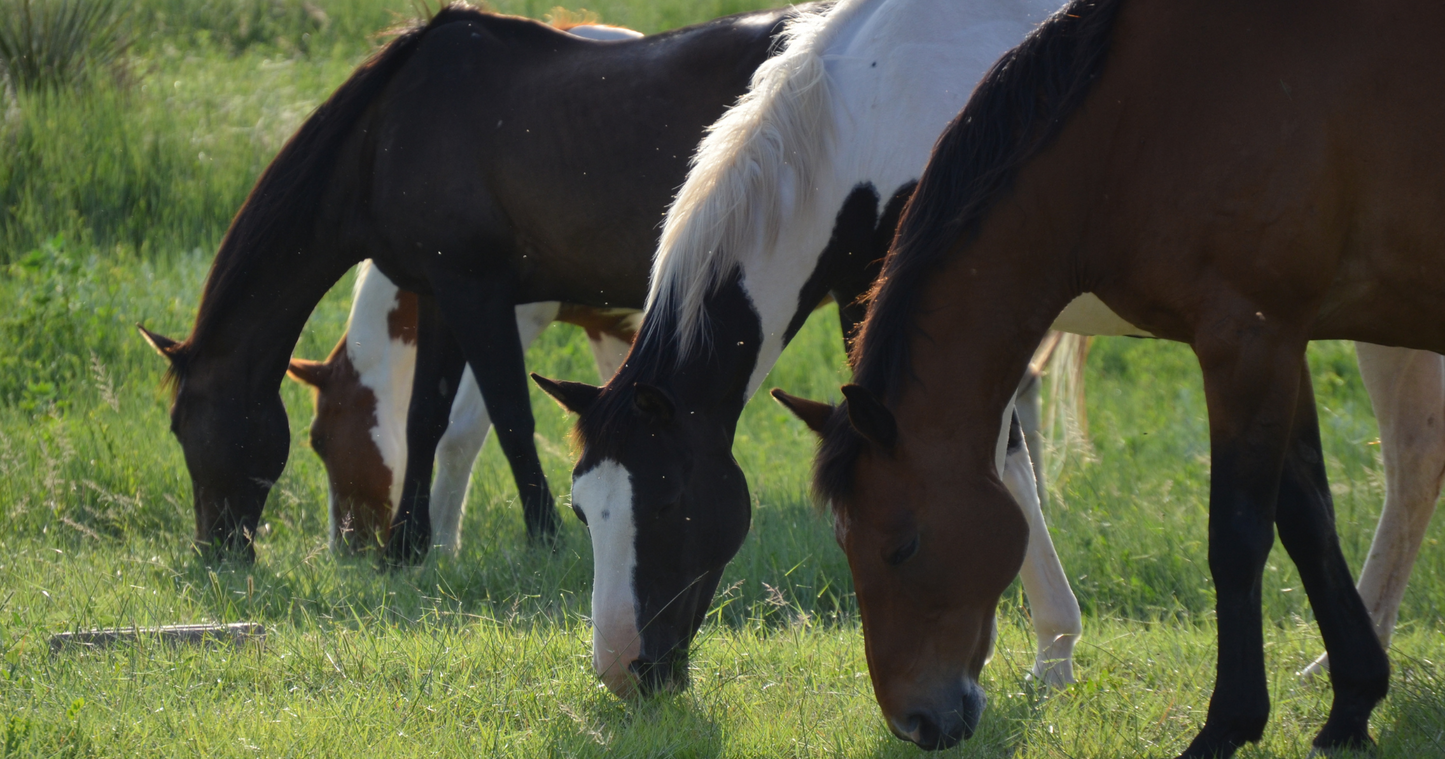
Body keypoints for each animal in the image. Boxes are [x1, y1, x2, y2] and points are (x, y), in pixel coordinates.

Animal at [286, 261, 637, 554]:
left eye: (318, 441)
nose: (346, 549)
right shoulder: (606, 326)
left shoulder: (506, 311)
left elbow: (462, 433)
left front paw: (440, 544)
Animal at [531, 0, 1072, 698]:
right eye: (580, 511)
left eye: (667, 501)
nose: (623, 669)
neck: (868, 116)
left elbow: (1000, 461)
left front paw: (1051, 654)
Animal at [784, 0, 1443, 753]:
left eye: (902, 546)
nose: (914, 722)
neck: (1128, 129)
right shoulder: (1283, 339)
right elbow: (1309, 522)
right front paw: (1351, 703)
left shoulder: (1245, 340)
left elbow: (1238, 539)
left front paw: (1227, 723)